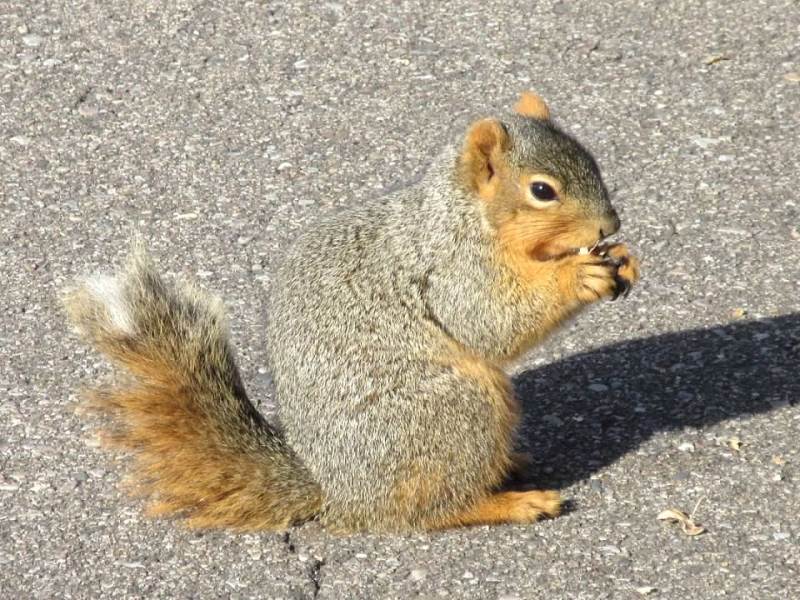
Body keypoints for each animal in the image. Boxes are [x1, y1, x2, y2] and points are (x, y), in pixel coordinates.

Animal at [63, 91, 640, 534]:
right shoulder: (451, 267)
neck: (467, 215)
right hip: (451, 411)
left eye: (593, 162)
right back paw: (513, 501)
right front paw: (578, 276)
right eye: (542, 190)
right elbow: (493, 319)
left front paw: (626, 260)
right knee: (429, 512)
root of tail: (340, 495)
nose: (610, 225)